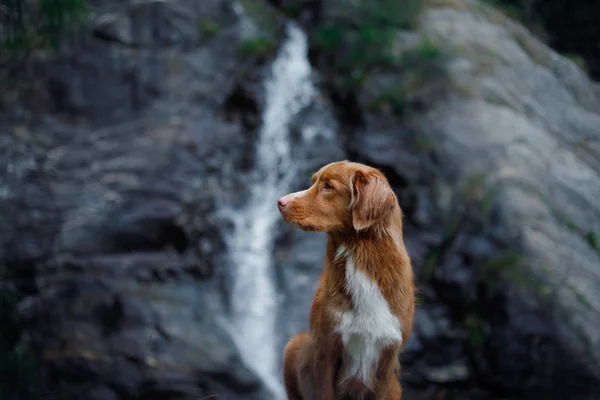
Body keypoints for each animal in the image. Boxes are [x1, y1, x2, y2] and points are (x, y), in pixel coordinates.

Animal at [278, 161, 414, 398]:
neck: (359, 254)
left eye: (328, 187)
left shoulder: (387, 358)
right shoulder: (325, 348)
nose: (280, 202)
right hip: (294, 346)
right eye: (314, 181)